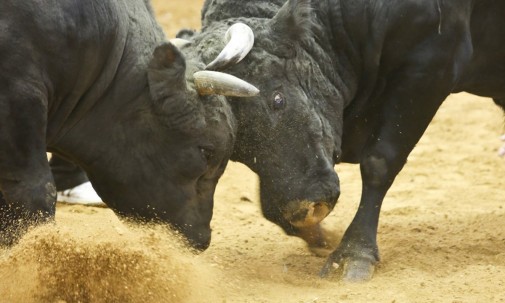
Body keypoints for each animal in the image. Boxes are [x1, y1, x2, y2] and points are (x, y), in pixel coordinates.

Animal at [174, 0, 504, 282]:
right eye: (237, 147)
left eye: (278, 99)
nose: (305, 209)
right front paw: (320, 236)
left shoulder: (431, 66)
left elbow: (379, 162)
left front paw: (353, 253)